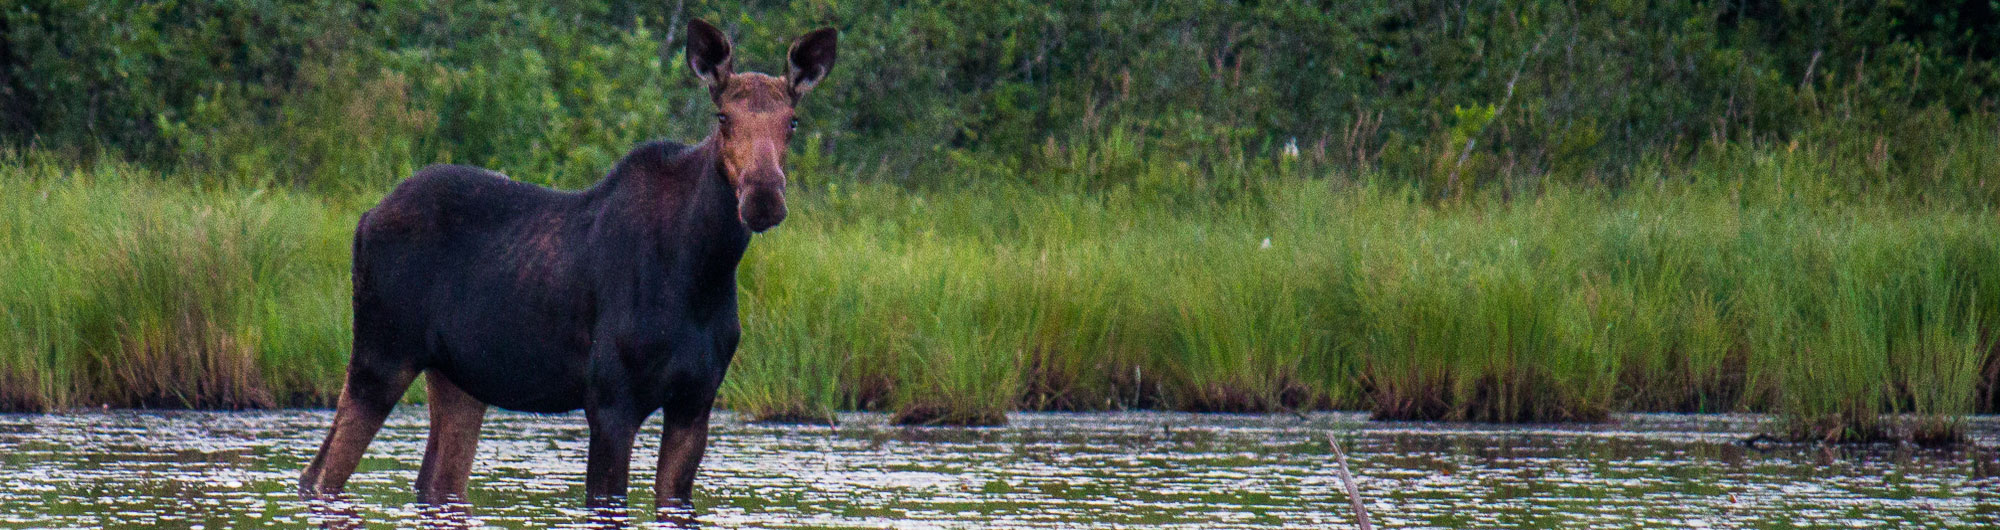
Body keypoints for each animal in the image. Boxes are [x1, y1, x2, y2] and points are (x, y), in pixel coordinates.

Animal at [296, 18, 836, 510]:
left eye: (792, 121)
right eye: (722, 117)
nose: (763, 196)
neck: (704, 273)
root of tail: (365, 218)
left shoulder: (695, 403)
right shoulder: (610, 400)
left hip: (457, 376)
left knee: (434, 483)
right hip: (382, 353)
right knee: (318, 475)